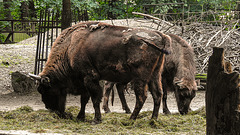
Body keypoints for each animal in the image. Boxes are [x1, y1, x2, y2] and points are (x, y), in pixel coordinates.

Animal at [30, 21, 172, 123]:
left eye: (45, 89)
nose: (49, 107)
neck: (70, 47)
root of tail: (162, 36)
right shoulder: (84, 81)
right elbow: (85, 100)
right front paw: (80, 117)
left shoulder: (89, 78)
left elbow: (94, 99)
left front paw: (96, 119)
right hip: (155, 75)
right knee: (157, 94)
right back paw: (153, 120)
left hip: (140, 78)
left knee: (142, 97)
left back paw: (131, 119)